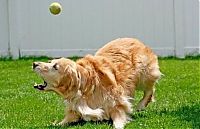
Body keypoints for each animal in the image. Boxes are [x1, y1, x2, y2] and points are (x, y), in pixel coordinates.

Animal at [32, 37, 161, 128]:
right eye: (50, 61)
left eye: (55, 66)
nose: (34, 63)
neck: (85, 86)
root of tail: (135, 39)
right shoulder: (75, 108)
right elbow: (66, 120)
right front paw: (53, 124)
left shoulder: (117, 103)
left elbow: (118, 119)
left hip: (143, 73)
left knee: (150, 88)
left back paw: (141, 105)